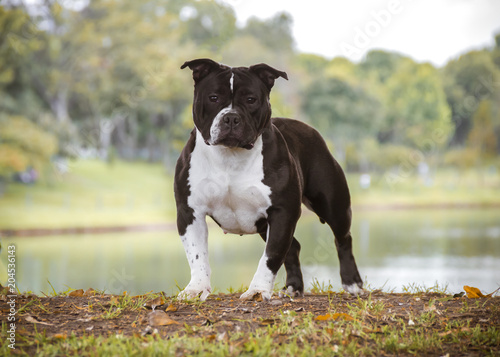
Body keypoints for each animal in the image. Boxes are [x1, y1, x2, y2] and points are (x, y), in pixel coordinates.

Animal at [174, 59, 362, 300]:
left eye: (251, 99)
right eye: (213, 97)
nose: (231, 117)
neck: (230, 156)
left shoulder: (282, 212)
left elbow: (270, 257)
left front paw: (257, 290)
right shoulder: (190, 212)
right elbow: (197, 255)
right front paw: (197, 288)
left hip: (332, 206)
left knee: (343, 238)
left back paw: (352, 283)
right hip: (266, 226)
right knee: (294, 247)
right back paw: (293, 287)